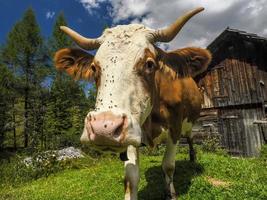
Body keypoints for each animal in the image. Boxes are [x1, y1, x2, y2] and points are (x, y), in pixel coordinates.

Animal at [54, 6, 211, 200]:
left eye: (150, 64)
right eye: (94, 68)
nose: (103, 128)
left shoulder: (174, 128)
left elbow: (168, 165)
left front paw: (171, 193)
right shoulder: (131, 133)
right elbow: (131, 177)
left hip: (189, 123)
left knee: (190, 138)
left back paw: (192, 158)